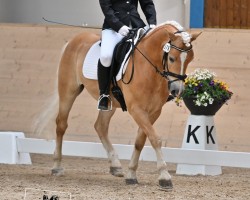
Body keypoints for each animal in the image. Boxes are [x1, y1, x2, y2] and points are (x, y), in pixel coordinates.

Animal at [36, 20, 201, 191]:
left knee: (100, 126)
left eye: (190, 58)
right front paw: (164, 176)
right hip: (68, 91)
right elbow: (155, 138)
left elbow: (140, 140)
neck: (149, 66)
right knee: (61, 124)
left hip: (109, 103)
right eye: (172, 59)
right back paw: (57, 166)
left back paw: (115, 166)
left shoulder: (154, 111)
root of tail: (73, 40)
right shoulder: (136, 109)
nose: (177, 90)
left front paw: (131, 174)